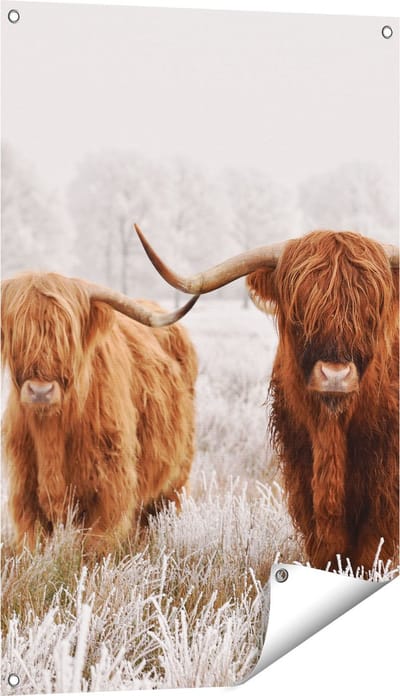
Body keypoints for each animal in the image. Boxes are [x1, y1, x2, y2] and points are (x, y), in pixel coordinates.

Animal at [1, 272, 199, 553]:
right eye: (15, 331)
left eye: (69, 334)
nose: (40, 391)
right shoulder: (25, 492)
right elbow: (33, 545)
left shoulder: (109, 491)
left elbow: (94, 548)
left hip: (176, 478)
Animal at [134, 225, 399, 571]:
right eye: (300, 311)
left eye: (372, 312)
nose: (335, 375)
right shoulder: (302, 475)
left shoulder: (384, 489)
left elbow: (372, 551)